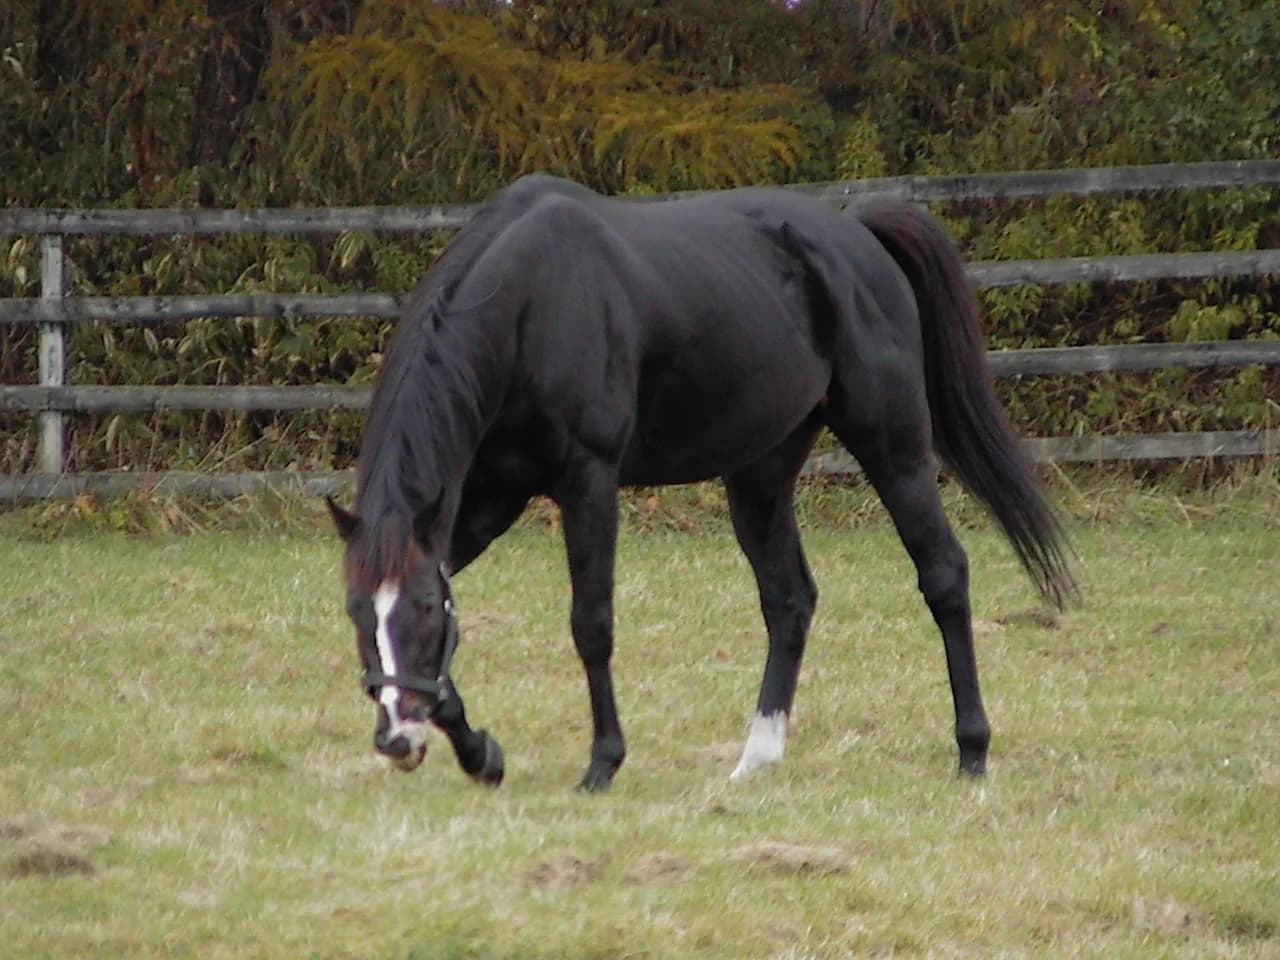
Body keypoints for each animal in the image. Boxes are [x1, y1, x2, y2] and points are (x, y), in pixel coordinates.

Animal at [326, 173, 1075, 792]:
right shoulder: (485, 497)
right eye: (359, 611)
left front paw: (602, 762)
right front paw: (480, 753)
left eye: (421, 611)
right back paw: (757, 757)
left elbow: (591, 622)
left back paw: (972, 750)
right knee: (789, 600)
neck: (531, 304)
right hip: (760, 471)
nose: (395, 738)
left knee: (943, 573)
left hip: (895, 449)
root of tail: (857, 232)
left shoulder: (587, 481)